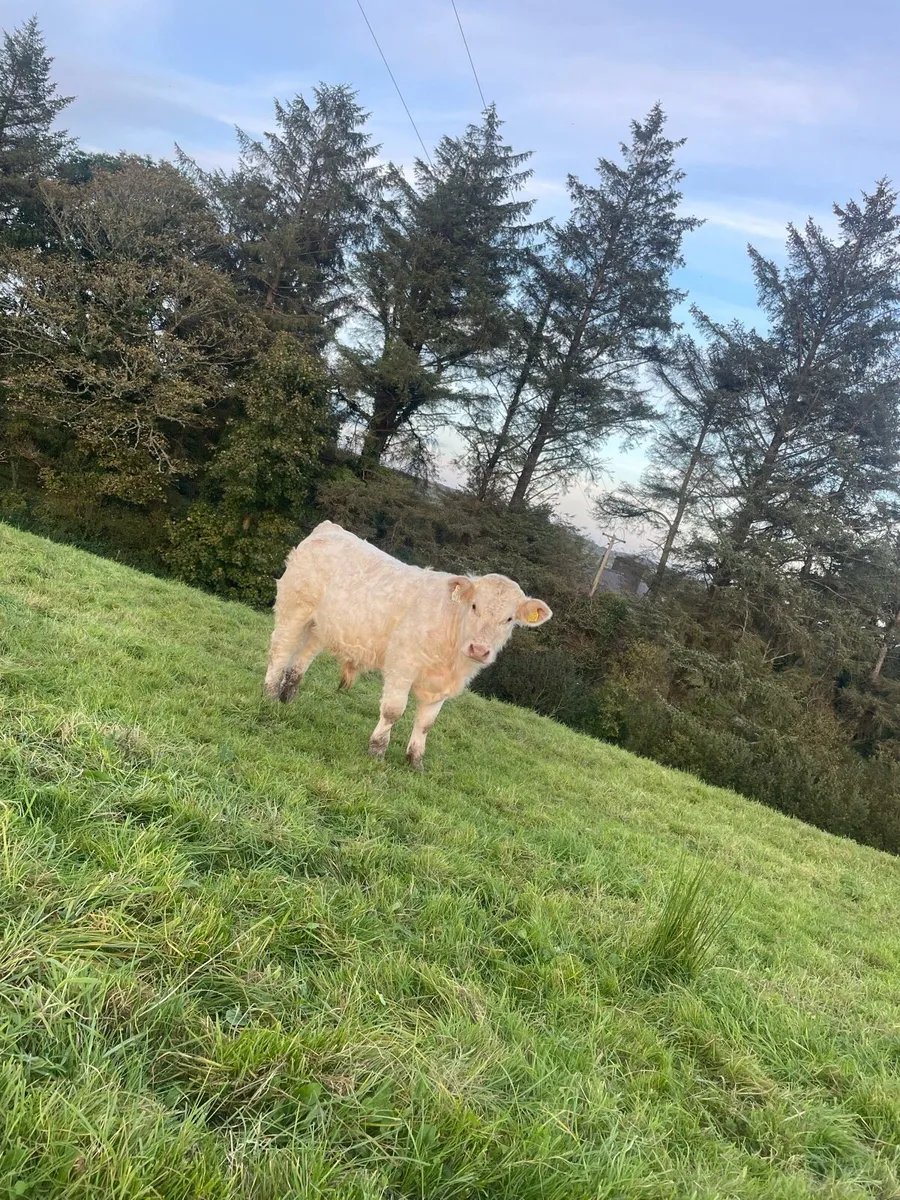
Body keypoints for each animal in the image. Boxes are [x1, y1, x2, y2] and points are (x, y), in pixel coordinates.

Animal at [264, 521, 552, 767]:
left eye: (509, 619)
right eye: (474, 606)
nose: (480, 650)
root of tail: (331, 528)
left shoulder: (440, 687)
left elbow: (426, 724)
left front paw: (416, 761)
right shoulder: (402, 665)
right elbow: (393, 711)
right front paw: (377, 751)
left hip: (321, 626)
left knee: (301, 659)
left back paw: (288, 698)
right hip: (294, 609)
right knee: (280, 651)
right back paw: (269, 696)